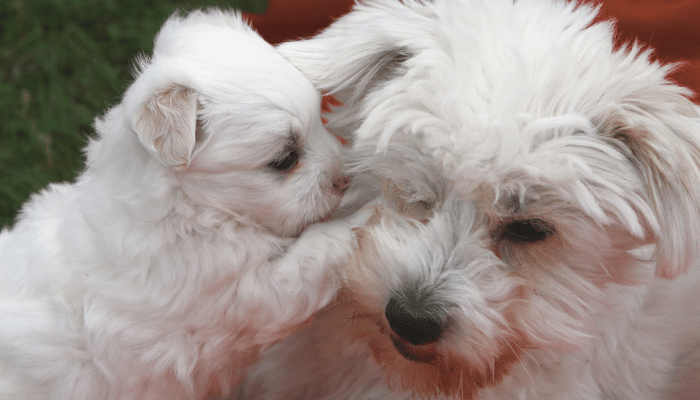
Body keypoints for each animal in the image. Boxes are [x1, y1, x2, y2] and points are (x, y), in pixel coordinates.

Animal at [0, 9, 360, 400]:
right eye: (284, 159)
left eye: (322, 120)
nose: (345, 179)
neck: (191, 206)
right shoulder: (245, 290)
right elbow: (318, 248)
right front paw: (367, 214)